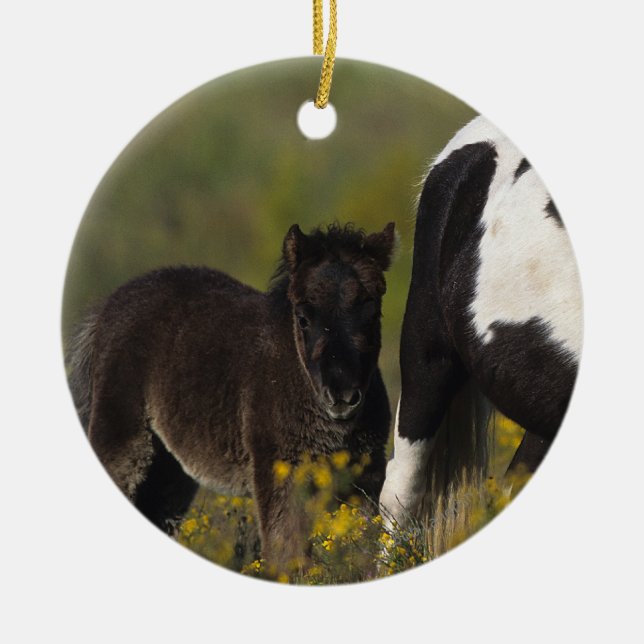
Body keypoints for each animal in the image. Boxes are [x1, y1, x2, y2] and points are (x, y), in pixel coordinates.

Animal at [68, 222, 395, 569]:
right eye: (303, 318)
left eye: (373, 314)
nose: (342, 395)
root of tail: (106, 307)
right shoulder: (279, 471)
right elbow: (286, 553)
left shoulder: (364, 475)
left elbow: (362, 547)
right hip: (123, 438)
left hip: (169, 469)